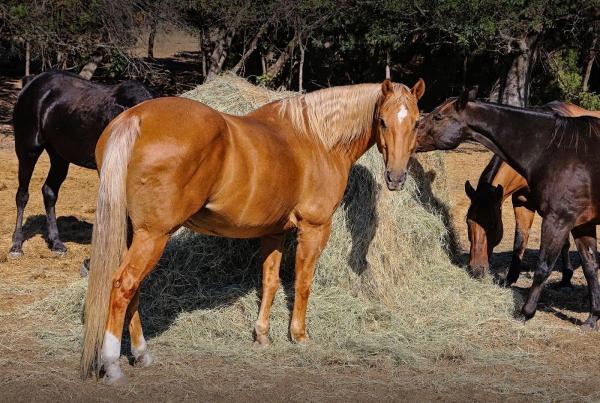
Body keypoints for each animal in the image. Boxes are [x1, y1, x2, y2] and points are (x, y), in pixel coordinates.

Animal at [9, 70, 152, 258]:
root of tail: (31, 82)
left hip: (59, 156)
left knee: (49, 192)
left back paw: (56, 243)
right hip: (28, 150)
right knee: (22, 195)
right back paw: (16, 245)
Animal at [81, 78, 426, 386]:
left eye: (416, 123)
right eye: (382, 121)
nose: (396, 177)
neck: (315, 139)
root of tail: (136, 118)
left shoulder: (274, 233)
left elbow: (269, 282)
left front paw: (262, 335)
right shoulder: (314, 229)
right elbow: (302, 283)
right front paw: (299, 335)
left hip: (134, 233)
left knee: (132, 288)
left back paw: (142, 354)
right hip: (154, 235)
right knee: (124, 285)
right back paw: (113, 365)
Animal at [464, 104, 600, 288]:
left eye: (492, 224)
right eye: (468, 222)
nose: (476, 270)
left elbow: (564, 243)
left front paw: (566, 276)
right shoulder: (522, 203)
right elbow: (520, 239)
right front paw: (510, 278)